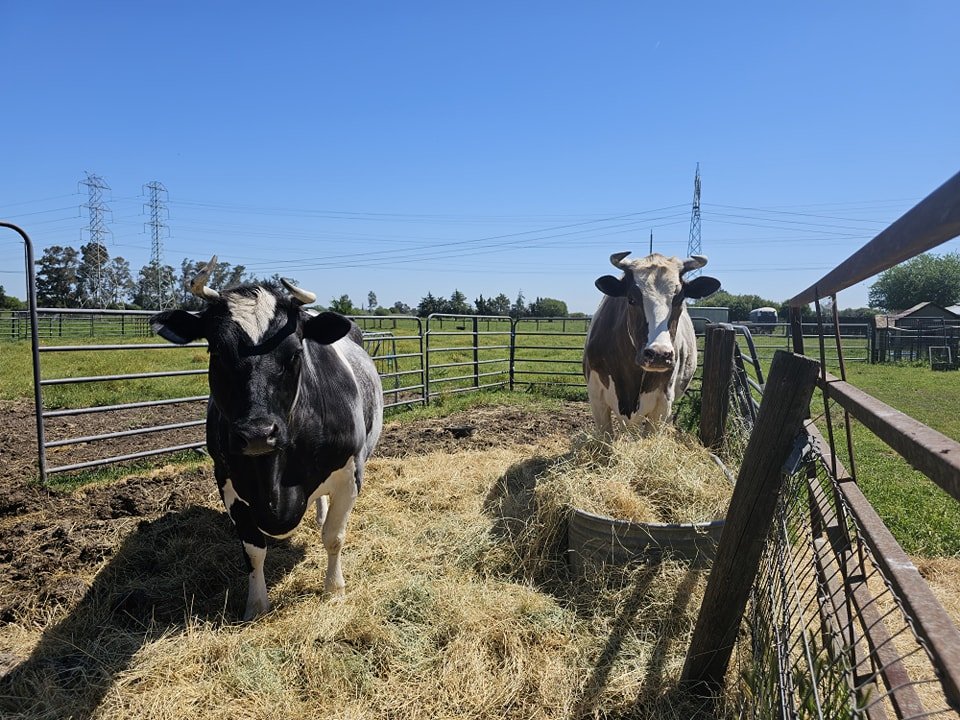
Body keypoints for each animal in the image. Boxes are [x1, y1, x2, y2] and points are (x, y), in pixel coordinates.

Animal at [150, 258, 382, 620]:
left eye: (295, 352)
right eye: (216, 350)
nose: (257, 434)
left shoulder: (349, 473)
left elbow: (333, 537)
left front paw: (334, 591)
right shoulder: (228, 481)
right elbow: (253, 550)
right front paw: (256, 605)